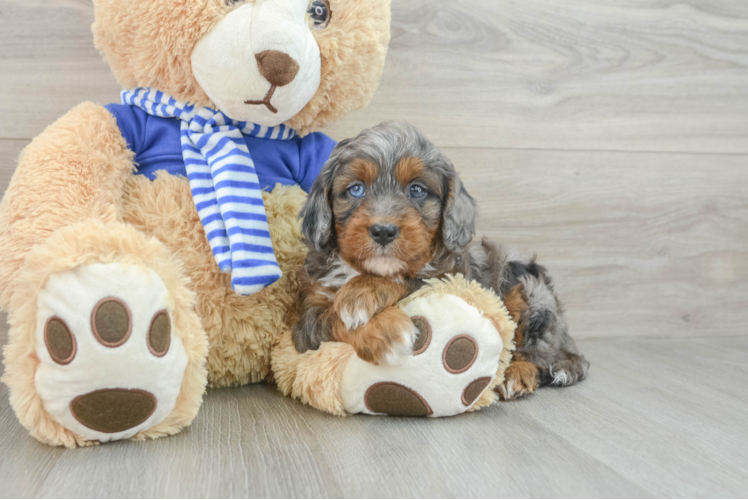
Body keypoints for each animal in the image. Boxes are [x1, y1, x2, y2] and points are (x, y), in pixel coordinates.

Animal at [292, 121, 592, 398]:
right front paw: (385, 331)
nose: (383, 231)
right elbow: (331, 318)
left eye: (416, 190)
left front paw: (362, 292)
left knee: (539, 354)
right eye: (355, 190)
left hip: (530, 290)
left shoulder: (451, 281)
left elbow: (410, 279)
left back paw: (517, 374)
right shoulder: (307, 322)